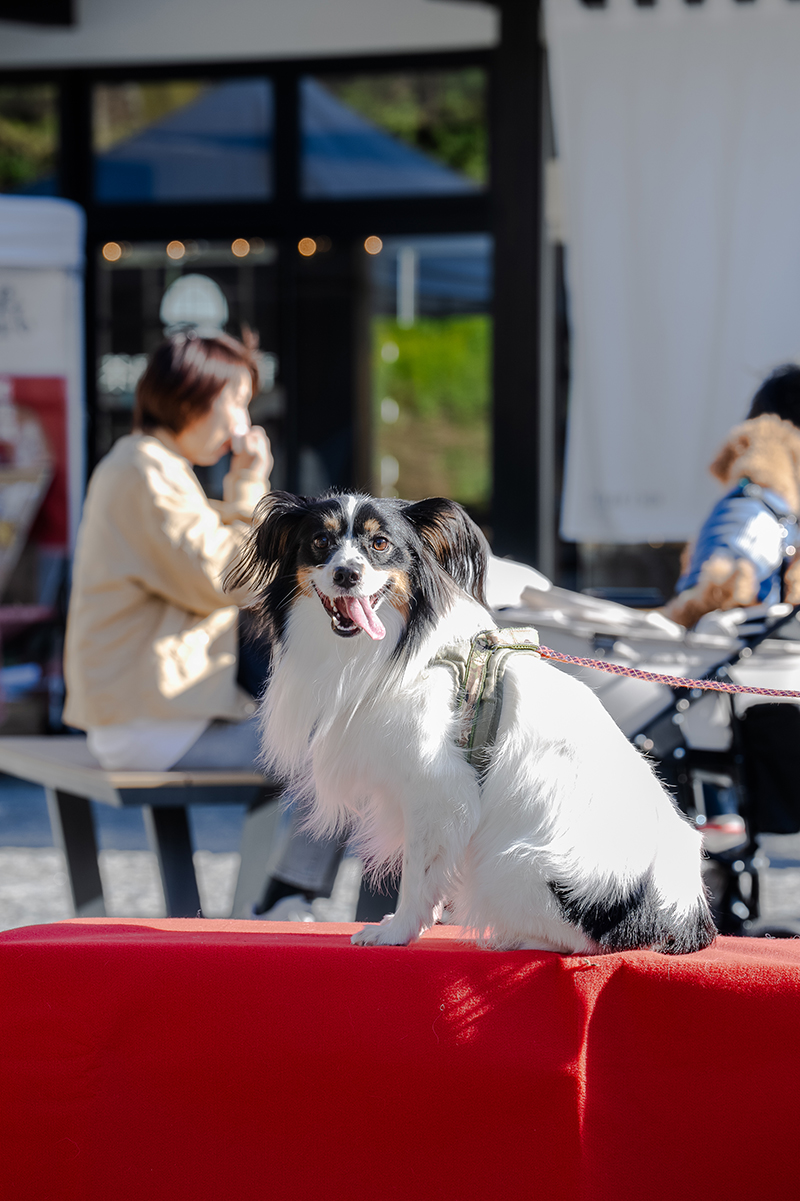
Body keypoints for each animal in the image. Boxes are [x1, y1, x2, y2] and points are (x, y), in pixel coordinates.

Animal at [228, 491, 716, 954]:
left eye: (380, 544)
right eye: (320, 542)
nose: (347, 573)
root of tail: (684, 915)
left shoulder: (436, 791)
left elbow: (418, 872)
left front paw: (398, 932)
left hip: (509, 863)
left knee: (578, 943)